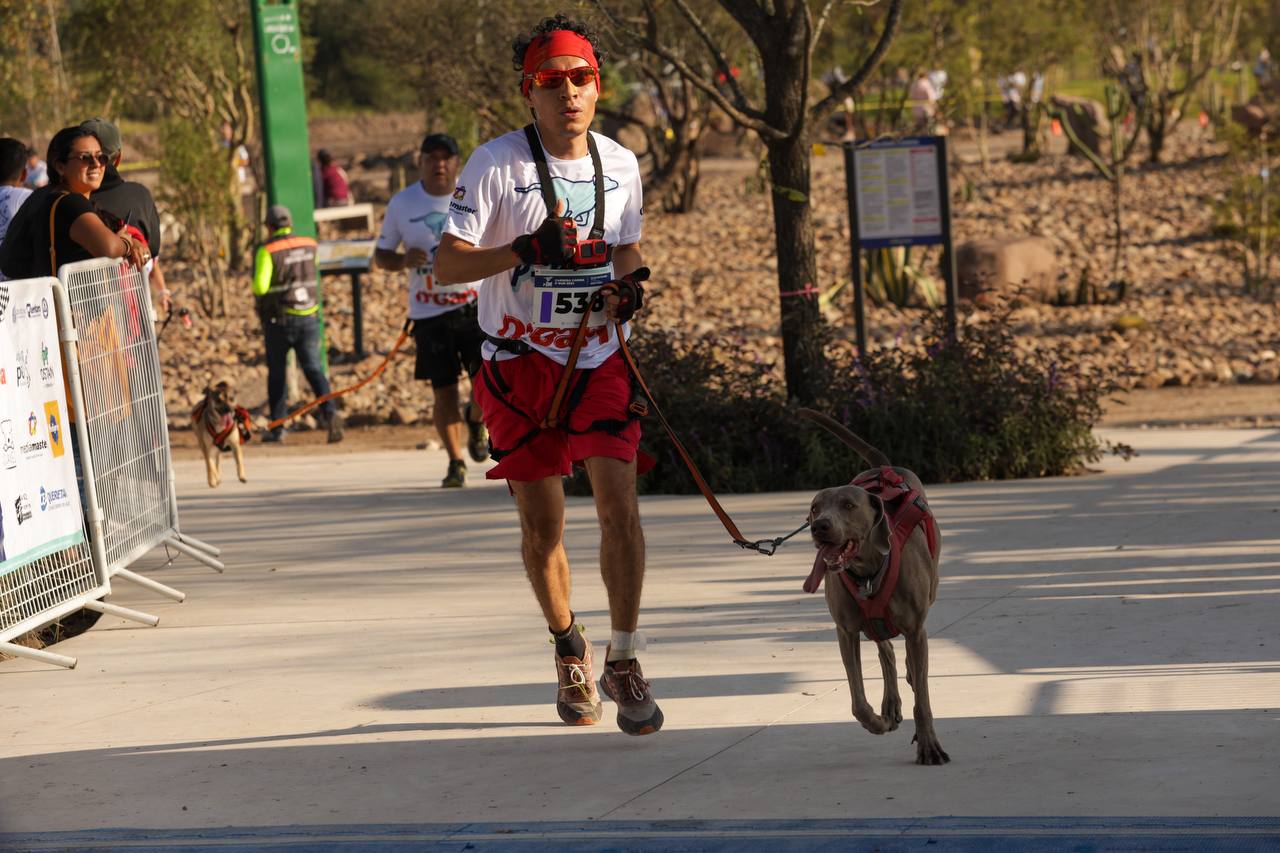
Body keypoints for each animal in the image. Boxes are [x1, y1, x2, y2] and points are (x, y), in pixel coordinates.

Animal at [798, 407, 952, 763]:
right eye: (814, 507)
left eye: (848, 505)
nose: (819, 526)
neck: (867, 572)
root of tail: (882, 467)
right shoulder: (846, 631)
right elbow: (857, 701)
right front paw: (877, 721)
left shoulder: (915, 627)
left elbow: (923, 701)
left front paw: (929, 745)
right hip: (873, 624)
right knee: (886, 650)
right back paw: (890, 704)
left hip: (928, 596)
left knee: (909, 659)